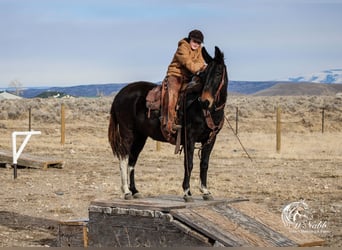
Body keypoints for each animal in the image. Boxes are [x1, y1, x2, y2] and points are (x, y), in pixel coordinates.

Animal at [108, 46, 228, 201]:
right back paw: (127, 191)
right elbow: (189, 163)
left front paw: (206, 191)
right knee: (124, 158)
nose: (205, 101)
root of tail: (119, 95)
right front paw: (187, 192)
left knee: (132, 161)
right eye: (205, 74)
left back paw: (135, 191)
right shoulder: (190, 137)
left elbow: (204, 164)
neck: (205, 110)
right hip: (127, 132)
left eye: (218, 73)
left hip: (140, 137)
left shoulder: (210, 139)